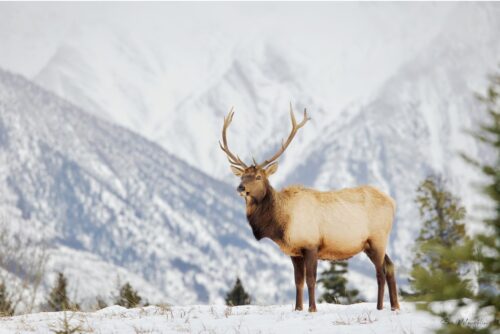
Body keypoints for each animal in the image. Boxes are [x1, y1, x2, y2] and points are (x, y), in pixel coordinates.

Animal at [221, 105, 400, 312]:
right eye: (242, 176)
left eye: (258, 176)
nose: (241, 188)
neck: (281, 223)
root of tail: (393, 202)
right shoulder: (294, 252)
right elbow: (297, 281)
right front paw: (298, 308)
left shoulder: (311, 244)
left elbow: (311, 279)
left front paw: (312, 308)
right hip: (370, 245)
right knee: (390, 266)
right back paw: (395, 306)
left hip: (378, 238)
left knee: (380, 272)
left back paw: (380, 307)